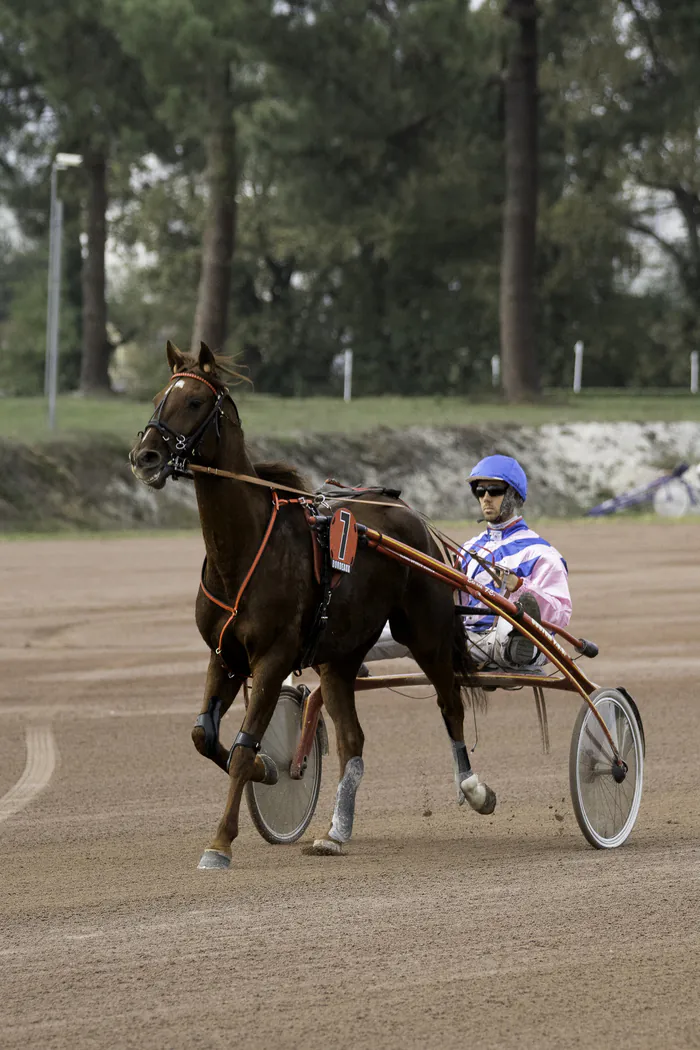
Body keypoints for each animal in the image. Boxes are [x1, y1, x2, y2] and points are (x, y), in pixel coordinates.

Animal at [128, 340, 495, 865]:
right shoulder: (224, 654)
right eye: (160, 397)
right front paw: (269, 768)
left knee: (450, 705)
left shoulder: (273, 656)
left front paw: (220, 842)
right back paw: (336, 831)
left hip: (424, 632)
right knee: (351, 739)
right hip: (340, 656)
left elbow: (242, 747)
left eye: (195, 402)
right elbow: (205, 737)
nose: (146, 456)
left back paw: (473, 788)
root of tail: (407, 512)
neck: (244, 551)